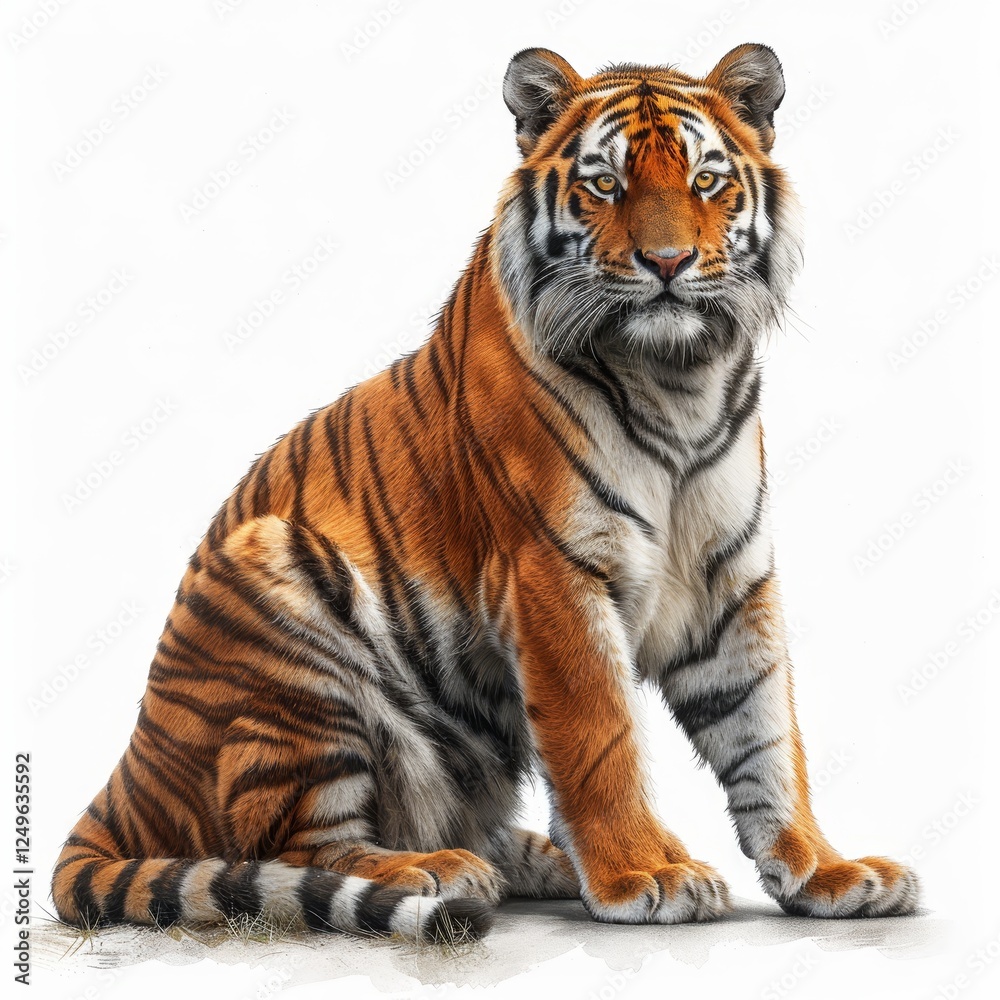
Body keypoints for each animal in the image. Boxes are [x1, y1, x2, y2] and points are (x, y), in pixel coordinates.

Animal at [52, 44, 920, 943]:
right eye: (604, 184)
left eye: (706, 180)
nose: (668, 264)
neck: (682, 381)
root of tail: (128, 775)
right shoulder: (553, 572)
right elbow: (599, 735)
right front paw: (645, 874)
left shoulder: (732, 579)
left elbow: (769, 737)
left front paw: (826, 871)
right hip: (279, 608)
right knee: (294, 849)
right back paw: (435, 870)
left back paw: (532, 859)